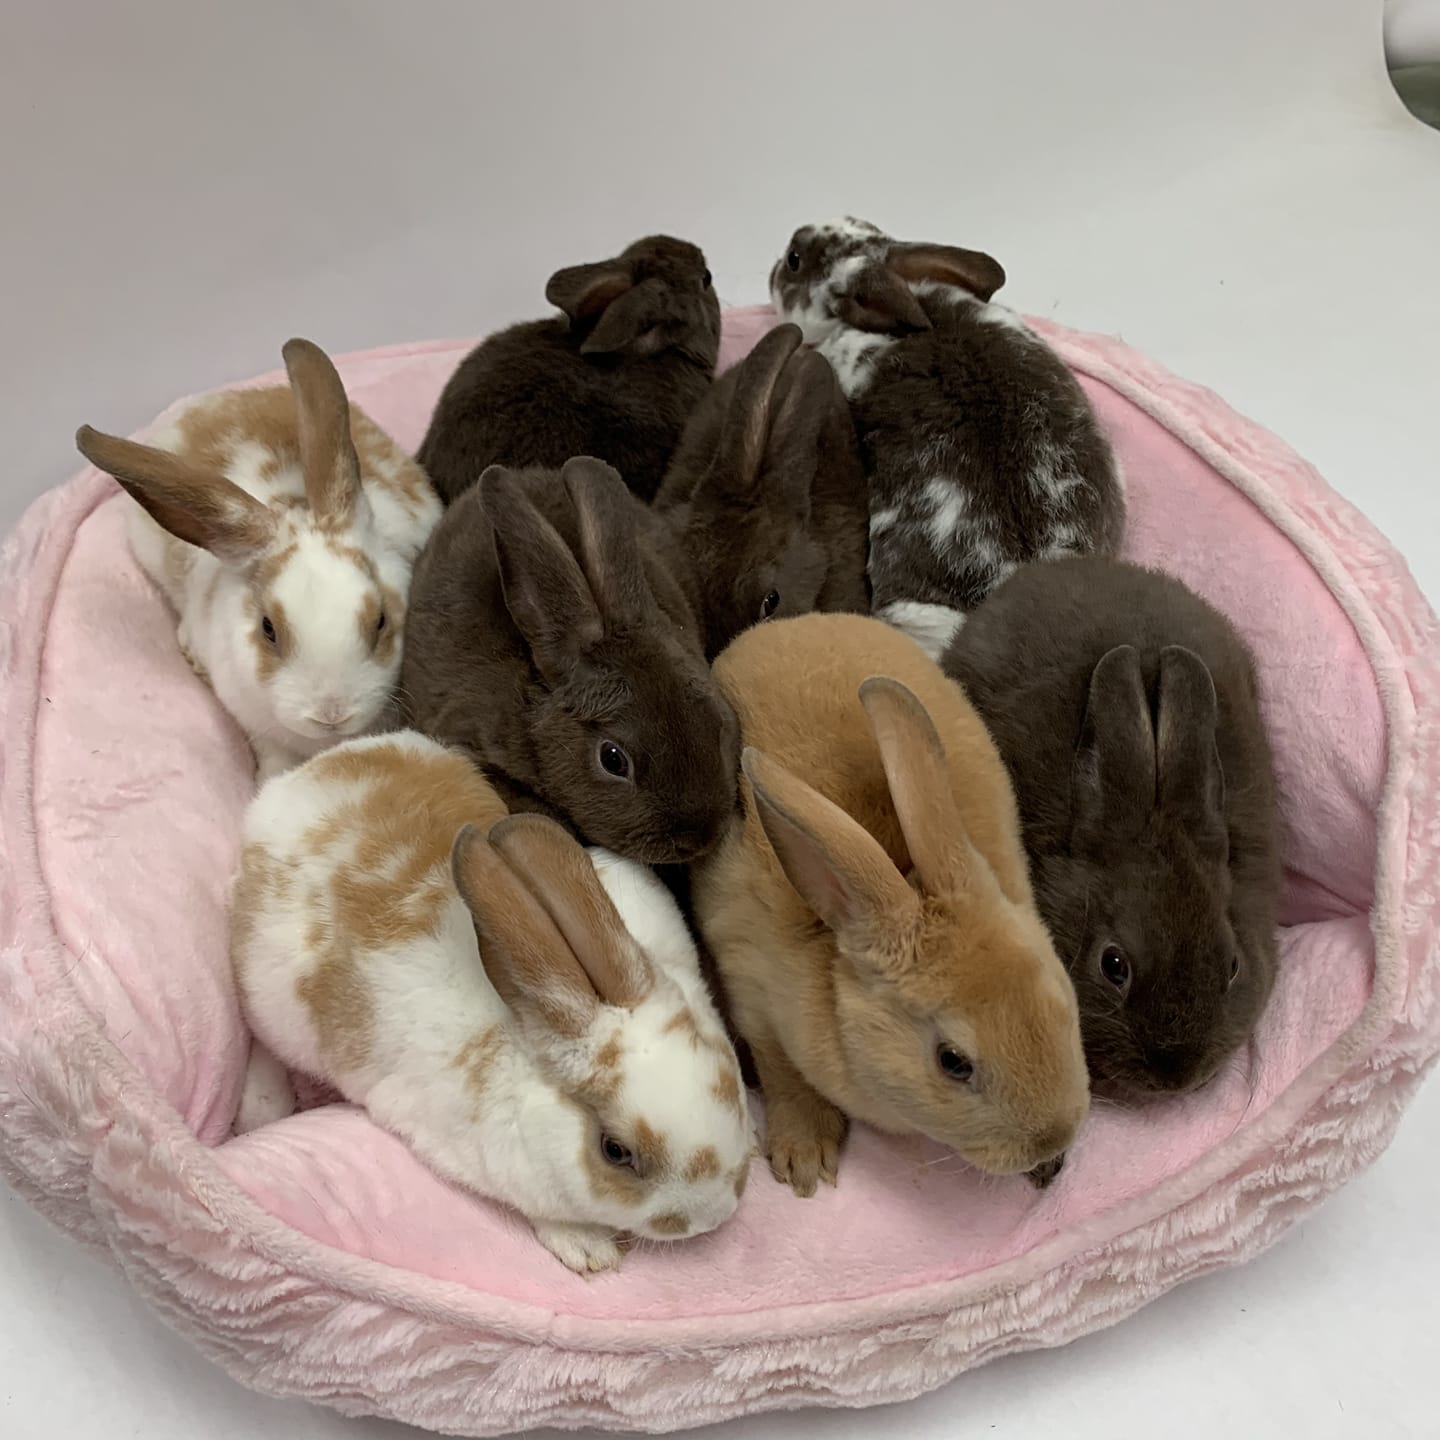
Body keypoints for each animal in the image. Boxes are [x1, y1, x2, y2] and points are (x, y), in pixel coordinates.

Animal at [231, 729, 755, 1275]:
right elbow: (536, 1208)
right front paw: (589, 1249)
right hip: (271, 1004)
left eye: (736, 1081)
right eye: (615, 1152)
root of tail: (294, 787)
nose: (715, 1213)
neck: (532, 1012)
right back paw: (260, 1109)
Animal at [690, 611, 1089, 1198]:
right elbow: (782, 1070)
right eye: (953, 1062)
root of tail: (787, 624)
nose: (1052, 1140)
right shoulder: (752, 989)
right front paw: (805, 1159)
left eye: (1061, 1000)